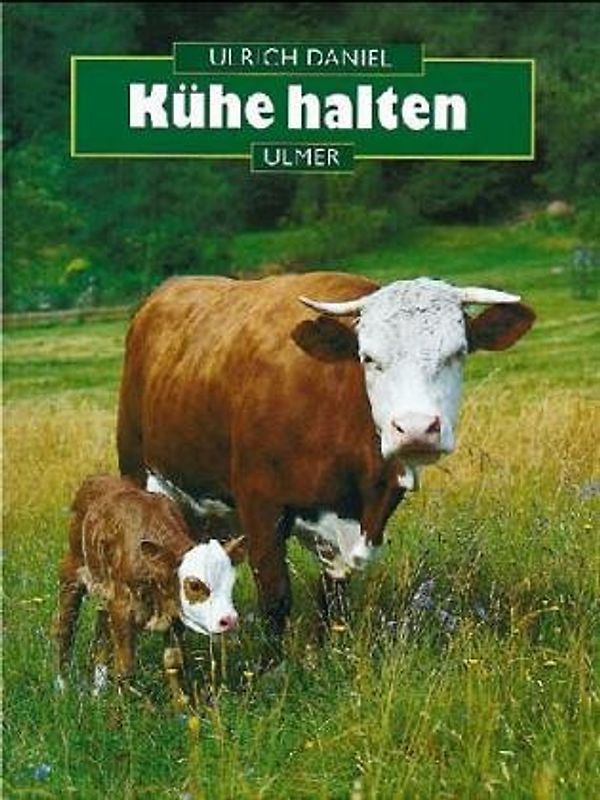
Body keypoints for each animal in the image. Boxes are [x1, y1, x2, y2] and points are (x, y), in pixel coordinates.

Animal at [56, 475, 245, 702]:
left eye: (230, 582)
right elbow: (125, 667)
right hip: (72, 572)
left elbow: (174, 661)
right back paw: (62, 687)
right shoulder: (122, 607)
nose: (230, 620)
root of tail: (96, 479)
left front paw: (181, 705)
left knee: (101, 630)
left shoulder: (173, 613)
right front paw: (122, 709)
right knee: (65, 628)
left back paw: (97, 691)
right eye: (194, 585)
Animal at [117, 272, 535, 649]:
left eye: (458, 353)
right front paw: (273, 669)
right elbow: (275, 598)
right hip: (139, 471)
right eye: (368, 358)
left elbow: (333, 599)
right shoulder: (260, 505)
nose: (415, 428)